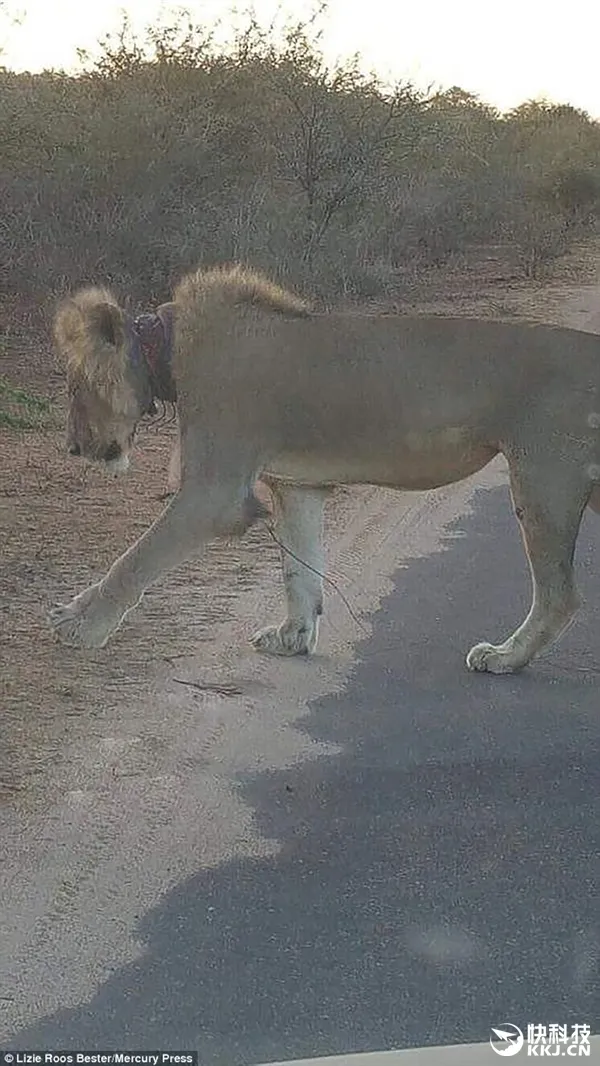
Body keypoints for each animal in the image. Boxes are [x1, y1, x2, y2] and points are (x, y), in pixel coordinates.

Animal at [50, 261, 600, 669]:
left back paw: (505, 657)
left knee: (560, 595)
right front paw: (292, 637)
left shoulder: (214, 493)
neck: (166, 349)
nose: (74, 447)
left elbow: (135, 559)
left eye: (75, 388)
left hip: (543, 478)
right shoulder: (296, 487)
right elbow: (300, 569)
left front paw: (80, 622)